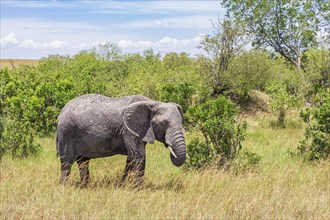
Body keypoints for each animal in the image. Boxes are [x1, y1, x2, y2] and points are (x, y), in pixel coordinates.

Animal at [55, 93, 187, 186]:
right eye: (163, 124)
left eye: (182, 122)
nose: (169, 146)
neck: (153, 103)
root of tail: (61, 113)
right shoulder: (128, 130)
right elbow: (138, 156)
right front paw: (139, 189)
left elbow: (131, 158)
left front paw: (123, 185)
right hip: (66, 132)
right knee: (67, 163)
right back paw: (64, 187)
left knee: (83, 162)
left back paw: (85, 186)